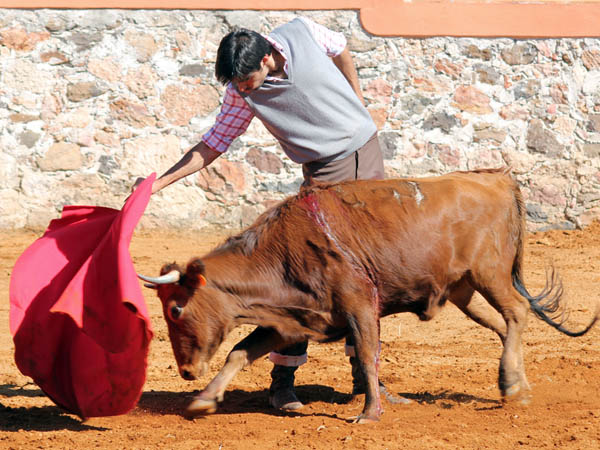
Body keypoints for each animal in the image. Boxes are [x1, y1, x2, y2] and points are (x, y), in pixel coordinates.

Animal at [139, 168, 596, 422]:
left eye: (176, 308)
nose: (186, 372)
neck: (282, 251)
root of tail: (495, 177)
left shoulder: (359, 306)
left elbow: (365, 353)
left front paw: (370, 413)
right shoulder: (289, 318)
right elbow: (238, 353)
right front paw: (203, 401)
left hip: (491, 274)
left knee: (517, 312)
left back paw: (512, 385)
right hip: (465, 291)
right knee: (504, 325)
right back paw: (513, 383)